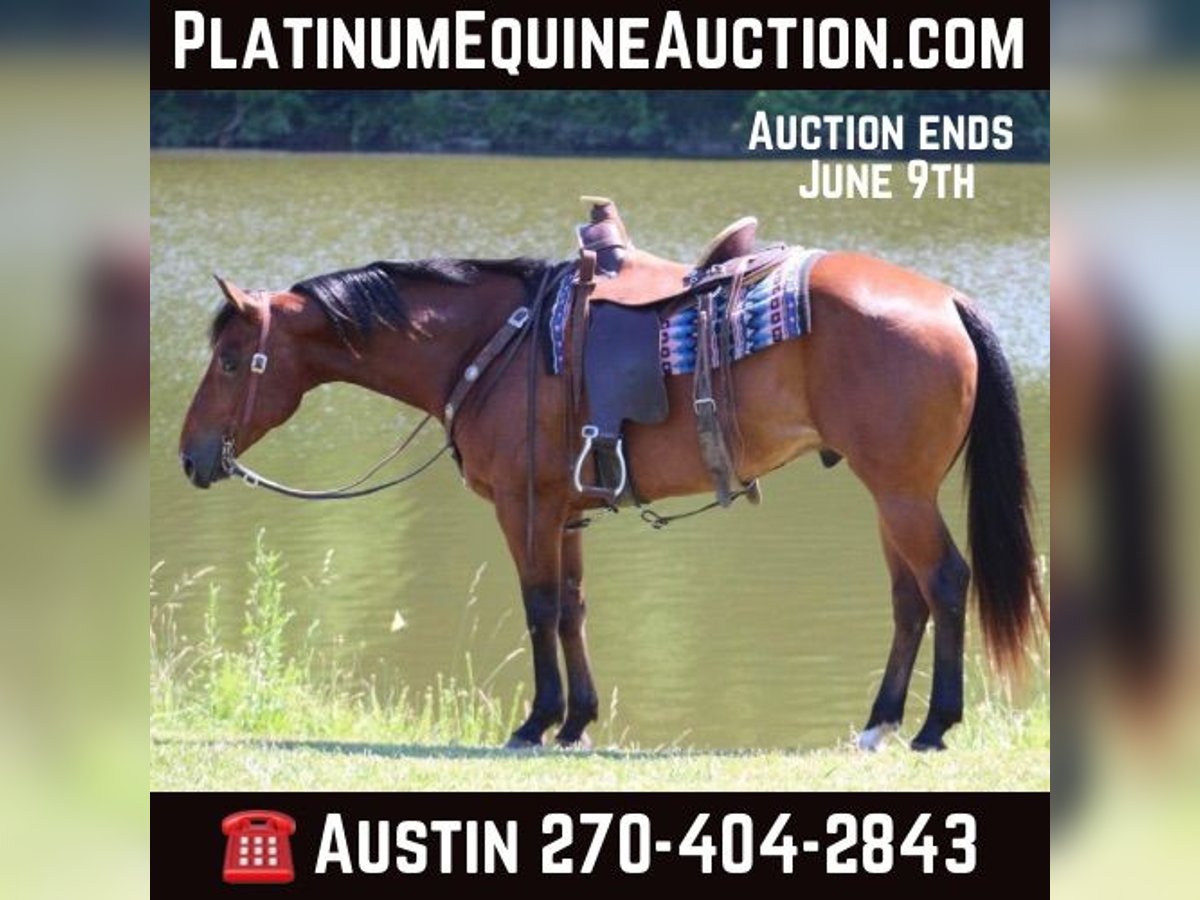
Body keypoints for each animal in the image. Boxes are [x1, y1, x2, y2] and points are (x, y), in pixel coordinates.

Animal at [179, 244, 1045, 752]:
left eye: (231, 360)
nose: (190, 454)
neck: (493, 343)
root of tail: (945, 299)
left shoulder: (522, 507)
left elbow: (537, 606)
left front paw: (536, 721)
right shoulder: (563, 514)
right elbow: (571, 609)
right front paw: (576, 721)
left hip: (901, 494)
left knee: (945, 582)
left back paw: (934, 725)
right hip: (890, 495)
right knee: (908, 598)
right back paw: (879, 723)